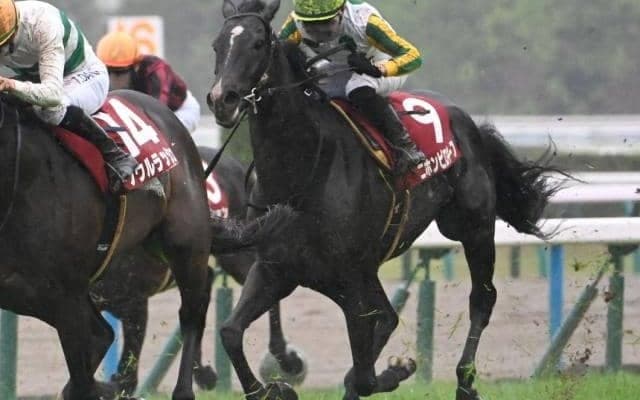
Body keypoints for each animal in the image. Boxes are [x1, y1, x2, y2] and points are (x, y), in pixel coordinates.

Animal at [207, 1, 563, 399]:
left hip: (473, 228)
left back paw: (465, 382)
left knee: (481, 300)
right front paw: (274, 388)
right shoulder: (275, 268)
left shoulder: (348, 278)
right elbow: (230, 332)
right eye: (217, 46)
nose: (222, 100)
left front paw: (396, 370)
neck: (303, 169)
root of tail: (466, 119)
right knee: (389, 318)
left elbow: (363, 373)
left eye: (257, 44)